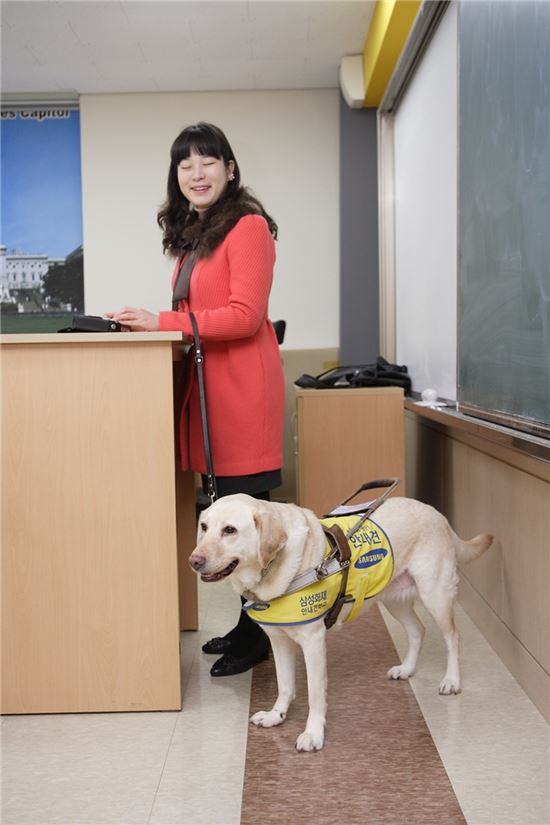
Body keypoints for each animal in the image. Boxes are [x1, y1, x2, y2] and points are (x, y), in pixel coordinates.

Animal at [191, 480, 496, 748]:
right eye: (204, 527)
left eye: (230, 530)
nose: (194, 561)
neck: (276, 568)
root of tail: (436, 513)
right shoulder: (279, 641)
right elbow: (285, 685)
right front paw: (276, 715)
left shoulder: (313, 642)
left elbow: (315, 694)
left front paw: (313, 734)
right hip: (393, 597)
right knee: (417, 630)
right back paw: (407, 669)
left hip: (435, 594)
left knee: (453, 637)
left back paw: (452, 681)